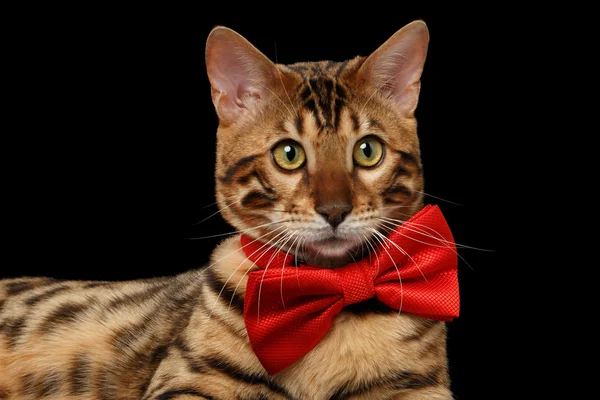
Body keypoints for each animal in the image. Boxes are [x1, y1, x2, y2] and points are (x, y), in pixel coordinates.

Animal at [0, 19, 454, 400]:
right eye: (288, 154)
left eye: (368, 151)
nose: (335, 210)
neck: (328, 293)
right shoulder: (183, 381)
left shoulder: (422, 388)